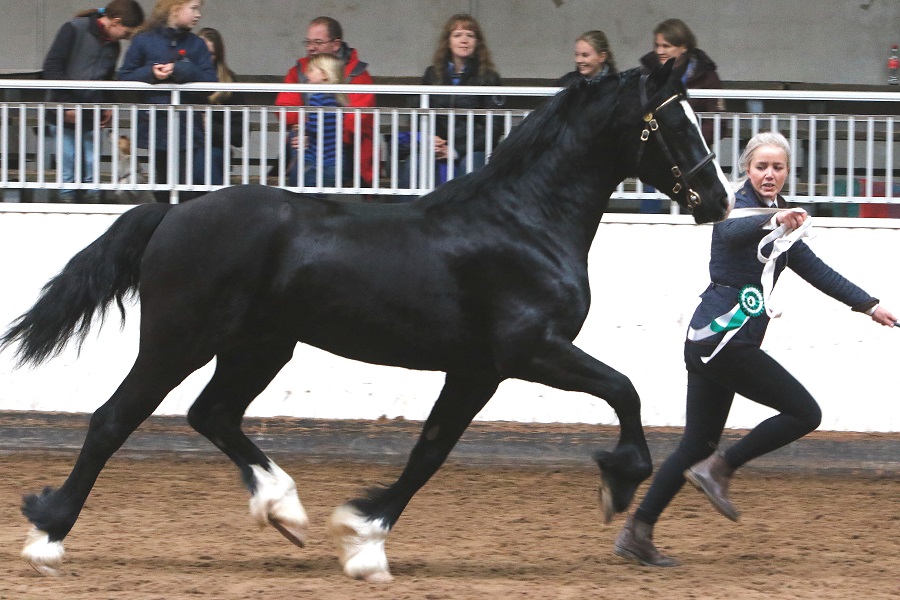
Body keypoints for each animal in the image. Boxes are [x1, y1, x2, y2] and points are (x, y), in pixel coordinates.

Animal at [1, 61, 734, 582]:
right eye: (676, 122)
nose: (718, 200)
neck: (524, 223)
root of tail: (172, 213)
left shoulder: (476, 371)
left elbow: (430, 451)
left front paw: (362, 541)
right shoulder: (530, 352)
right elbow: (624, 390)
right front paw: (617, 481)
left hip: (260, 346)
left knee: (212, 414)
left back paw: (284, 509)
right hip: (178, 341)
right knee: (114, 420)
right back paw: (48, 536)